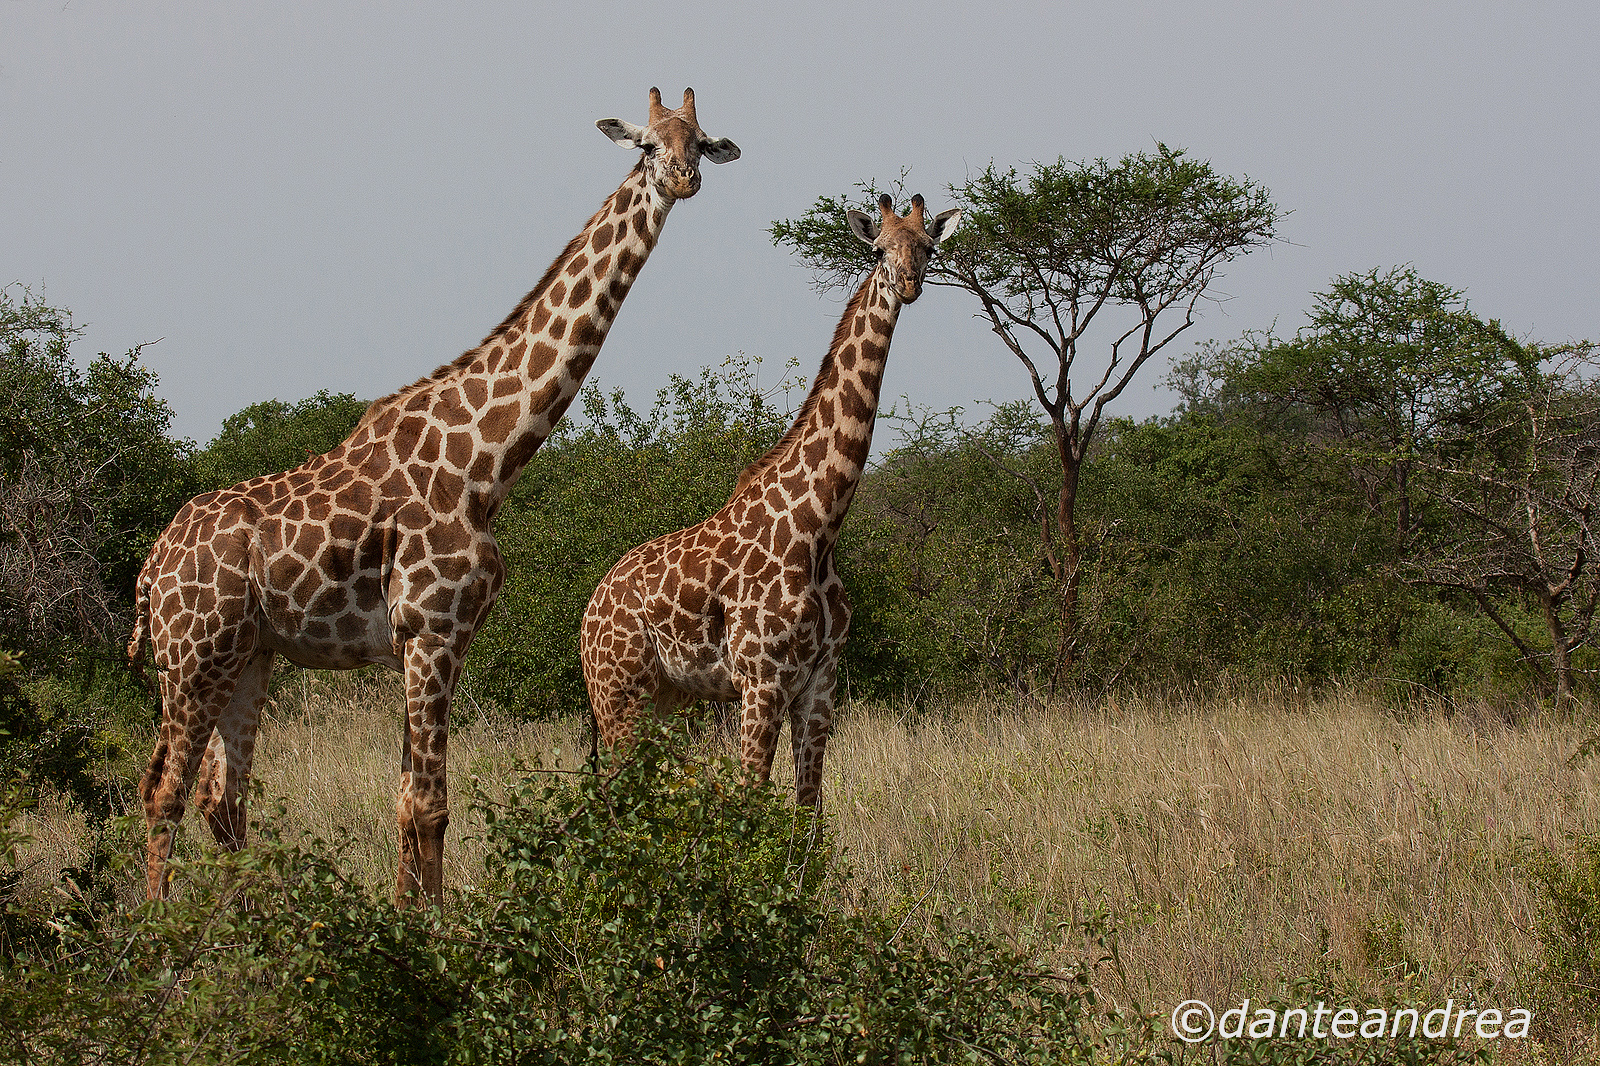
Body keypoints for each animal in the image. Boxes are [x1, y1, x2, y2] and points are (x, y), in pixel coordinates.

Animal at [128, 88, 738, 906]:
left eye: (699, 141)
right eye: (645, 144)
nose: (682, 178)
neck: (488, 462)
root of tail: (149, 570)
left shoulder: (430, 639)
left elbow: (410, 798)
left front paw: (404, 915)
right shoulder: (430, 630)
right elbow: (429, 803)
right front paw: (432, 925)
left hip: (249, 655)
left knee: (221, 796)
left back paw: (242, 922)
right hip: (191, 655)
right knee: (164, 788)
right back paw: (158, 925)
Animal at [581, 193, 960, 805]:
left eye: (928, 246)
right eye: (879, 248)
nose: (907, 283)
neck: (819, 527)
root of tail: (589, 612)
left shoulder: (820, 685)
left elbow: (809, 809)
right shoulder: (761, 682)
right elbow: (752, 799)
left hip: (664, 698)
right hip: (618, 692)